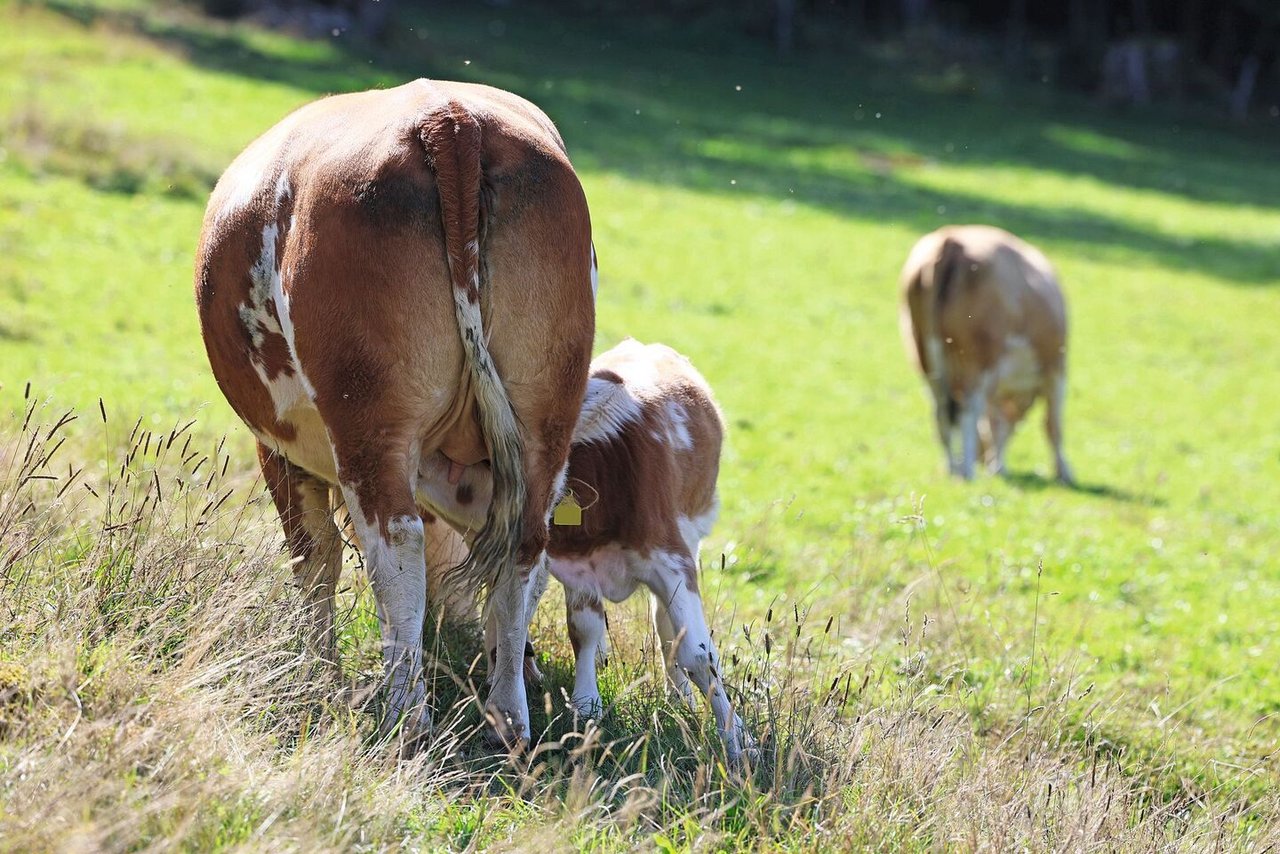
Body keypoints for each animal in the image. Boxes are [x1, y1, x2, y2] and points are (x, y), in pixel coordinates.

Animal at [197, 78, 596, 747]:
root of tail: (448, 117)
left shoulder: (279, 448)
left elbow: (315, 558)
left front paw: (315, 672)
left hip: (368, 420)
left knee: (396, 550)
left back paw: (405, 717)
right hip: (546, 415)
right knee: (524, 545)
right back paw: (508, 715)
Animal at [419, 340, 747, 763]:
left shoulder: (671, 560)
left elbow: (699, 655)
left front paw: (738, 742)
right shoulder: (578, 566)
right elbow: (585, 630)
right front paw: (587, 705)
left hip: (690, 535)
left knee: (666, 625)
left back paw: (681, 698)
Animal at [896, 224, 1075, 483]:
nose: (983, 459)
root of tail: (951, 239)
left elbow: (996, 425)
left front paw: (998, 466)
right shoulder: (1056, 366)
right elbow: (1052, 424)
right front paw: (1065, 471)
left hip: (926, 355)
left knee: (941, 411)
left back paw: (953, 468)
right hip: (979, 358)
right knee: (968, 409)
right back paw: (967, 472)